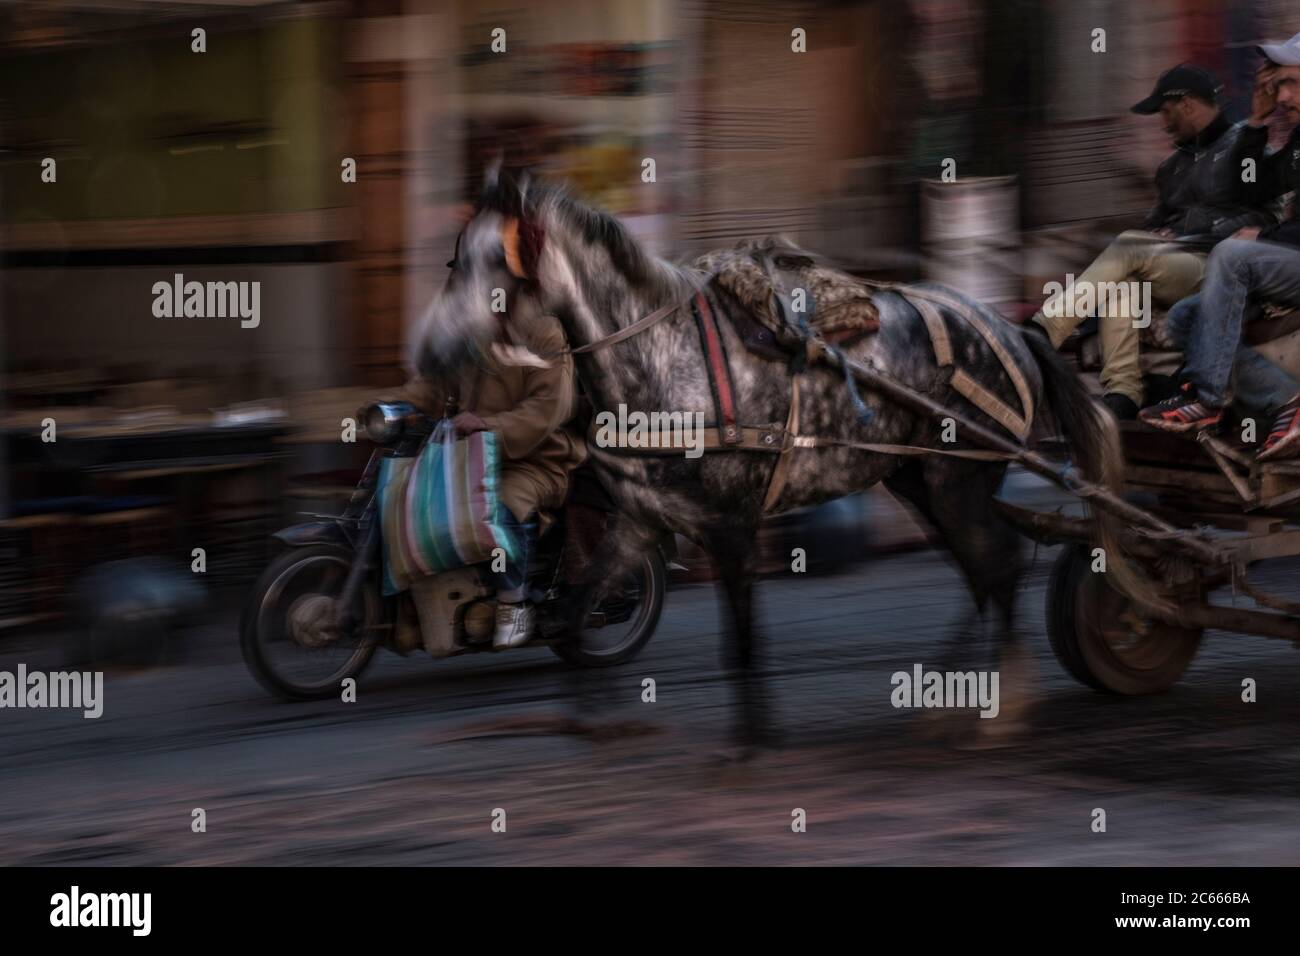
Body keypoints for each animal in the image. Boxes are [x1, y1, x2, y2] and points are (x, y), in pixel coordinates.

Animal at [416, 174, 1128, 749]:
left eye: (492, 261)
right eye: (454, 257)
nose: (428, 354)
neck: (662, 356)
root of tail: (1015, 331)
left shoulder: (729, 524)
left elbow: (741, 641)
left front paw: (755, 739)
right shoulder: (640, 519)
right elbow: (572, 612)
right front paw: (596, 720)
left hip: (960, 478)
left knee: (997, 566)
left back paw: (1001, 708)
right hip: (918, 479)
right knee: (982, 572)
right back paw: (946, 700)